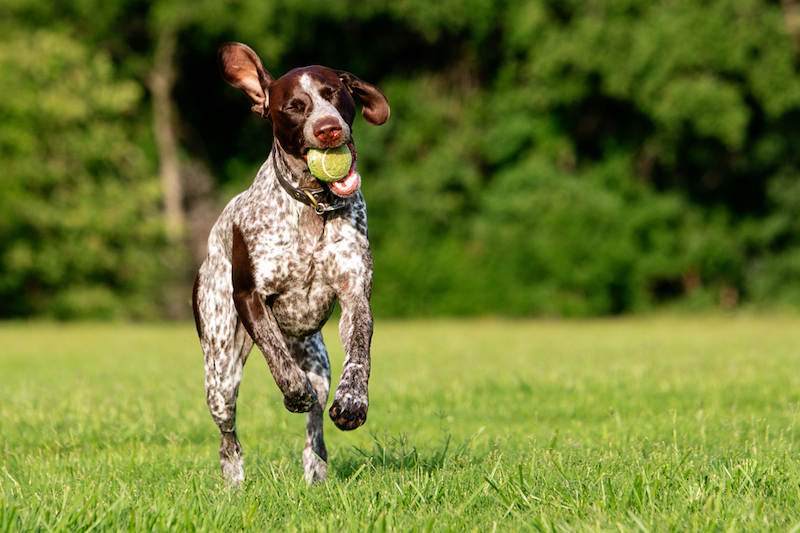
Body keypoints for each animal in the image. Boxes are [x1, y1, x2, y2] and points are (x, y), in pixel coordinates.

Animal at [195, 42, 394, 482]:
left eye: (333, 93)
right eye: (294, 107)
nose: (328, 129)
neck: (312, 206)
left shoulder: (355, 292)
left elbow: (360, 352)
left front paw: (353, 401)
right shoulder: (249, 297)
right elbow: (276, 359)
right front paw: (293, 392)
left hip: (316, 357)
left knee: (315, 418)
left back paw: (315, 468)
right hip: (220, 369)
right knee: (228, 436)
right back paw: (234, 481)